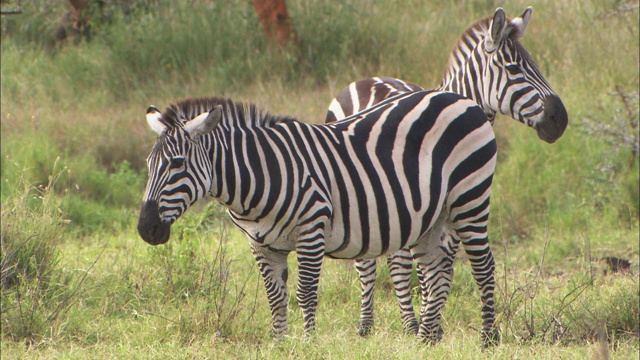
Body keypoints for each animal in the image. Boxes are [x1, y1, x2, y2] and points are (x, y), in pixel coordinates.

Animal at [139, 90, 500, 344]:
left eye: (177, 164)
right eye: (148, 165)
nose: (146, 229)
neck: (261, 174)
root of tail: (461, 99)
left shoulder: (312, 227)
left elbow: (306, 293)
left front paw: (308, 343)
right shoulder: (261, 243)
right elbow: (275, 297)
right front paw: (279, 345)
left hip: (470, 196)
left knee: (483, 266)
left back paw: (487, 338)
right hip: (432, 217)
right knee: (436, 270)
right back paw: (425, 341)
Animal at [328, 5, 568, 338]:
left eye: (536, 66)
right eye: (513, 69)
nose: (561, 119)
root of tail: (367, 79)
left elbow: (443, 267)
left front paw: (433, 325)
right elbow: (425, 269)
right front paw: (426, 327)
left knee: (396, 261)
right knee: (373, 265)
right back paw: (368, 325)